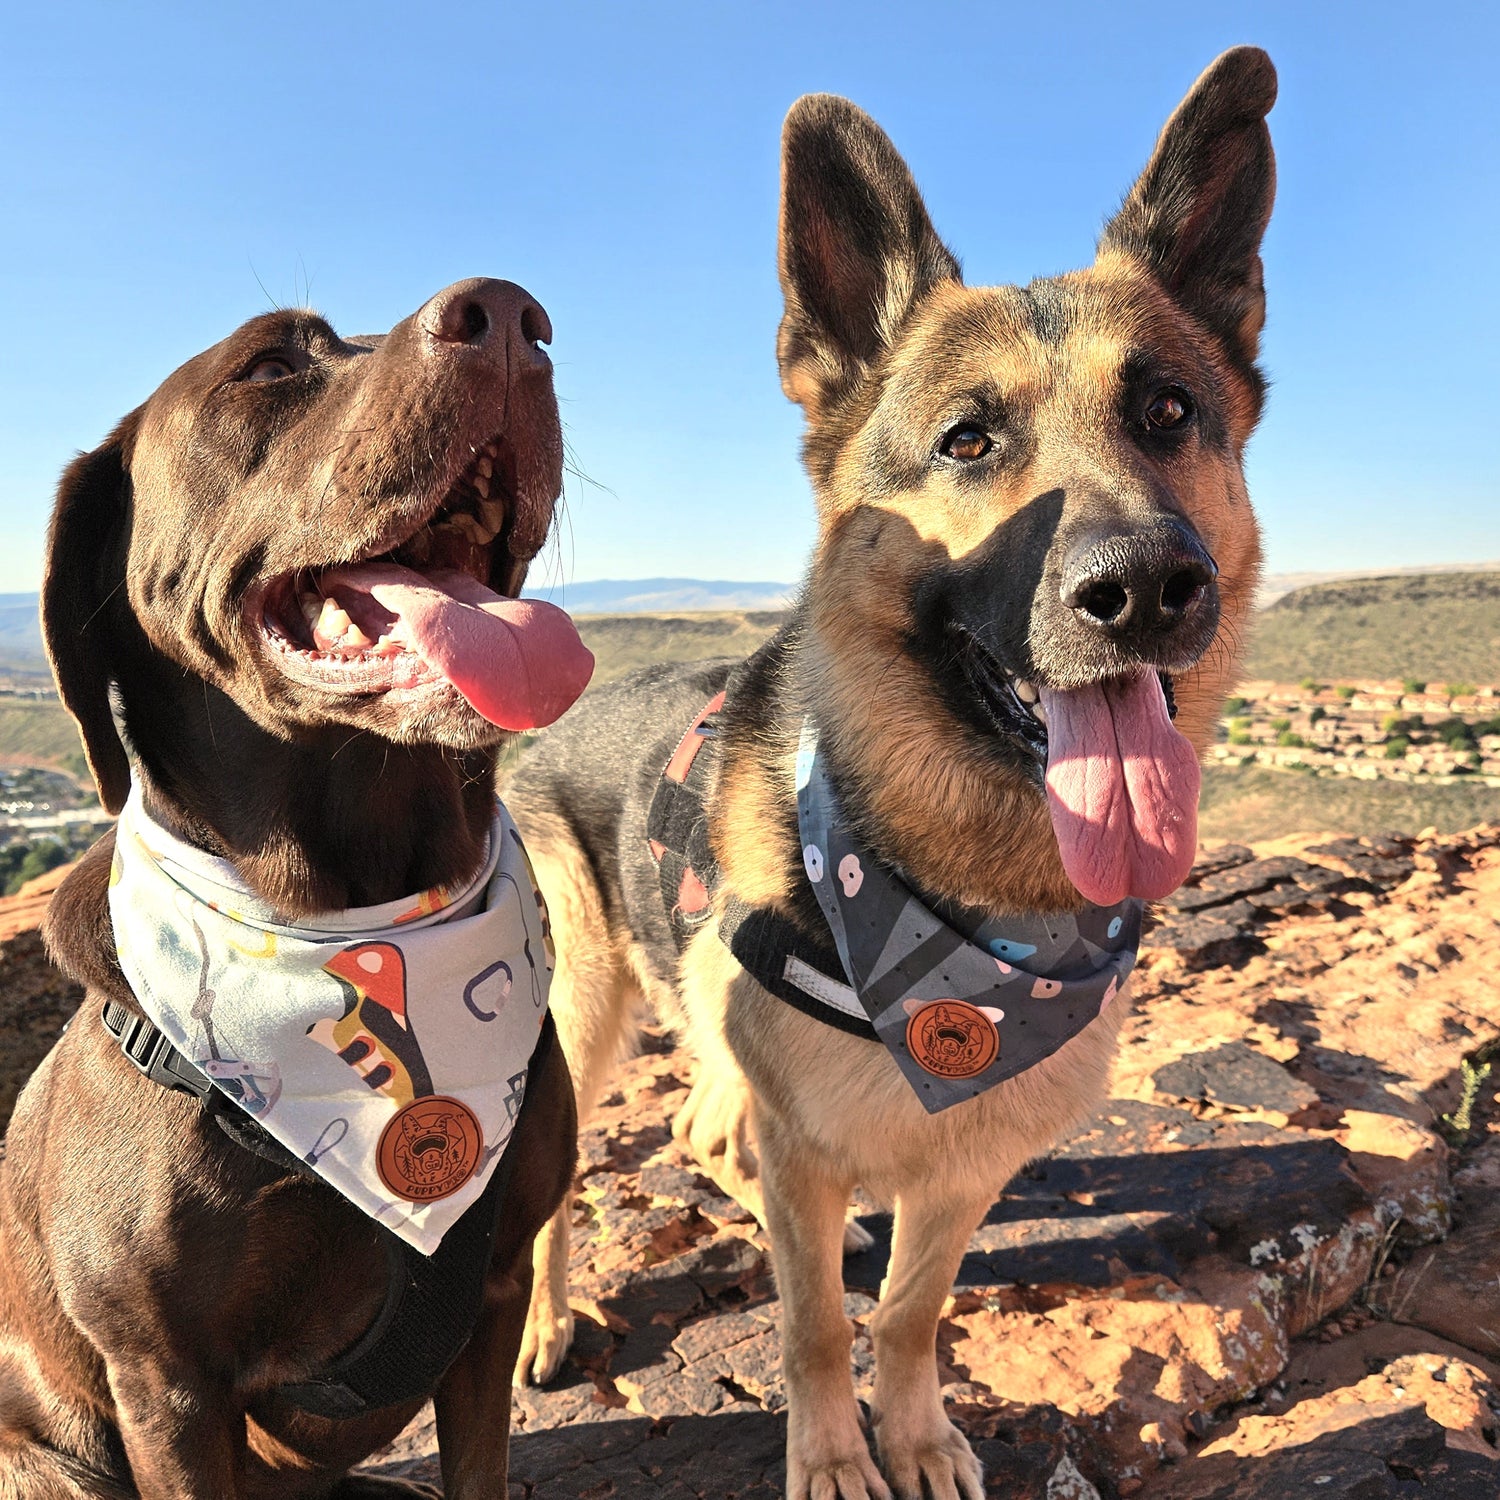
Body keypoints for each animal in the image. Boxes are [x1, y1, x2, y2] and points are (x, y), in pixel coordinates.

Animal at [1, 276, 579, 1494]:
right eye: (268, 367)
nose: (513, 316)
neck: (345, 918)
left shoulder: (494, 1290)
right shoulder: (166, 1388)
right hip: (57, 1462)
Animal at [510, 49, 1272, 1500]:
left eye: (1167, 411)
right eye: (967, 441)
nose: (1148, 588)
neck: (960, 905)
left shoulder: (966, 1161)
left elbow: (914, 1307)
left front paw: (913, 1436)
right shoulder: (809, 1152)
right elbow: (812, 1321)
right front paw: (832, 1456)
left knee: (709, 1123)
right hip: (573, 1020)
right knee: (558, 1182)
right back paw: (544, 1316)